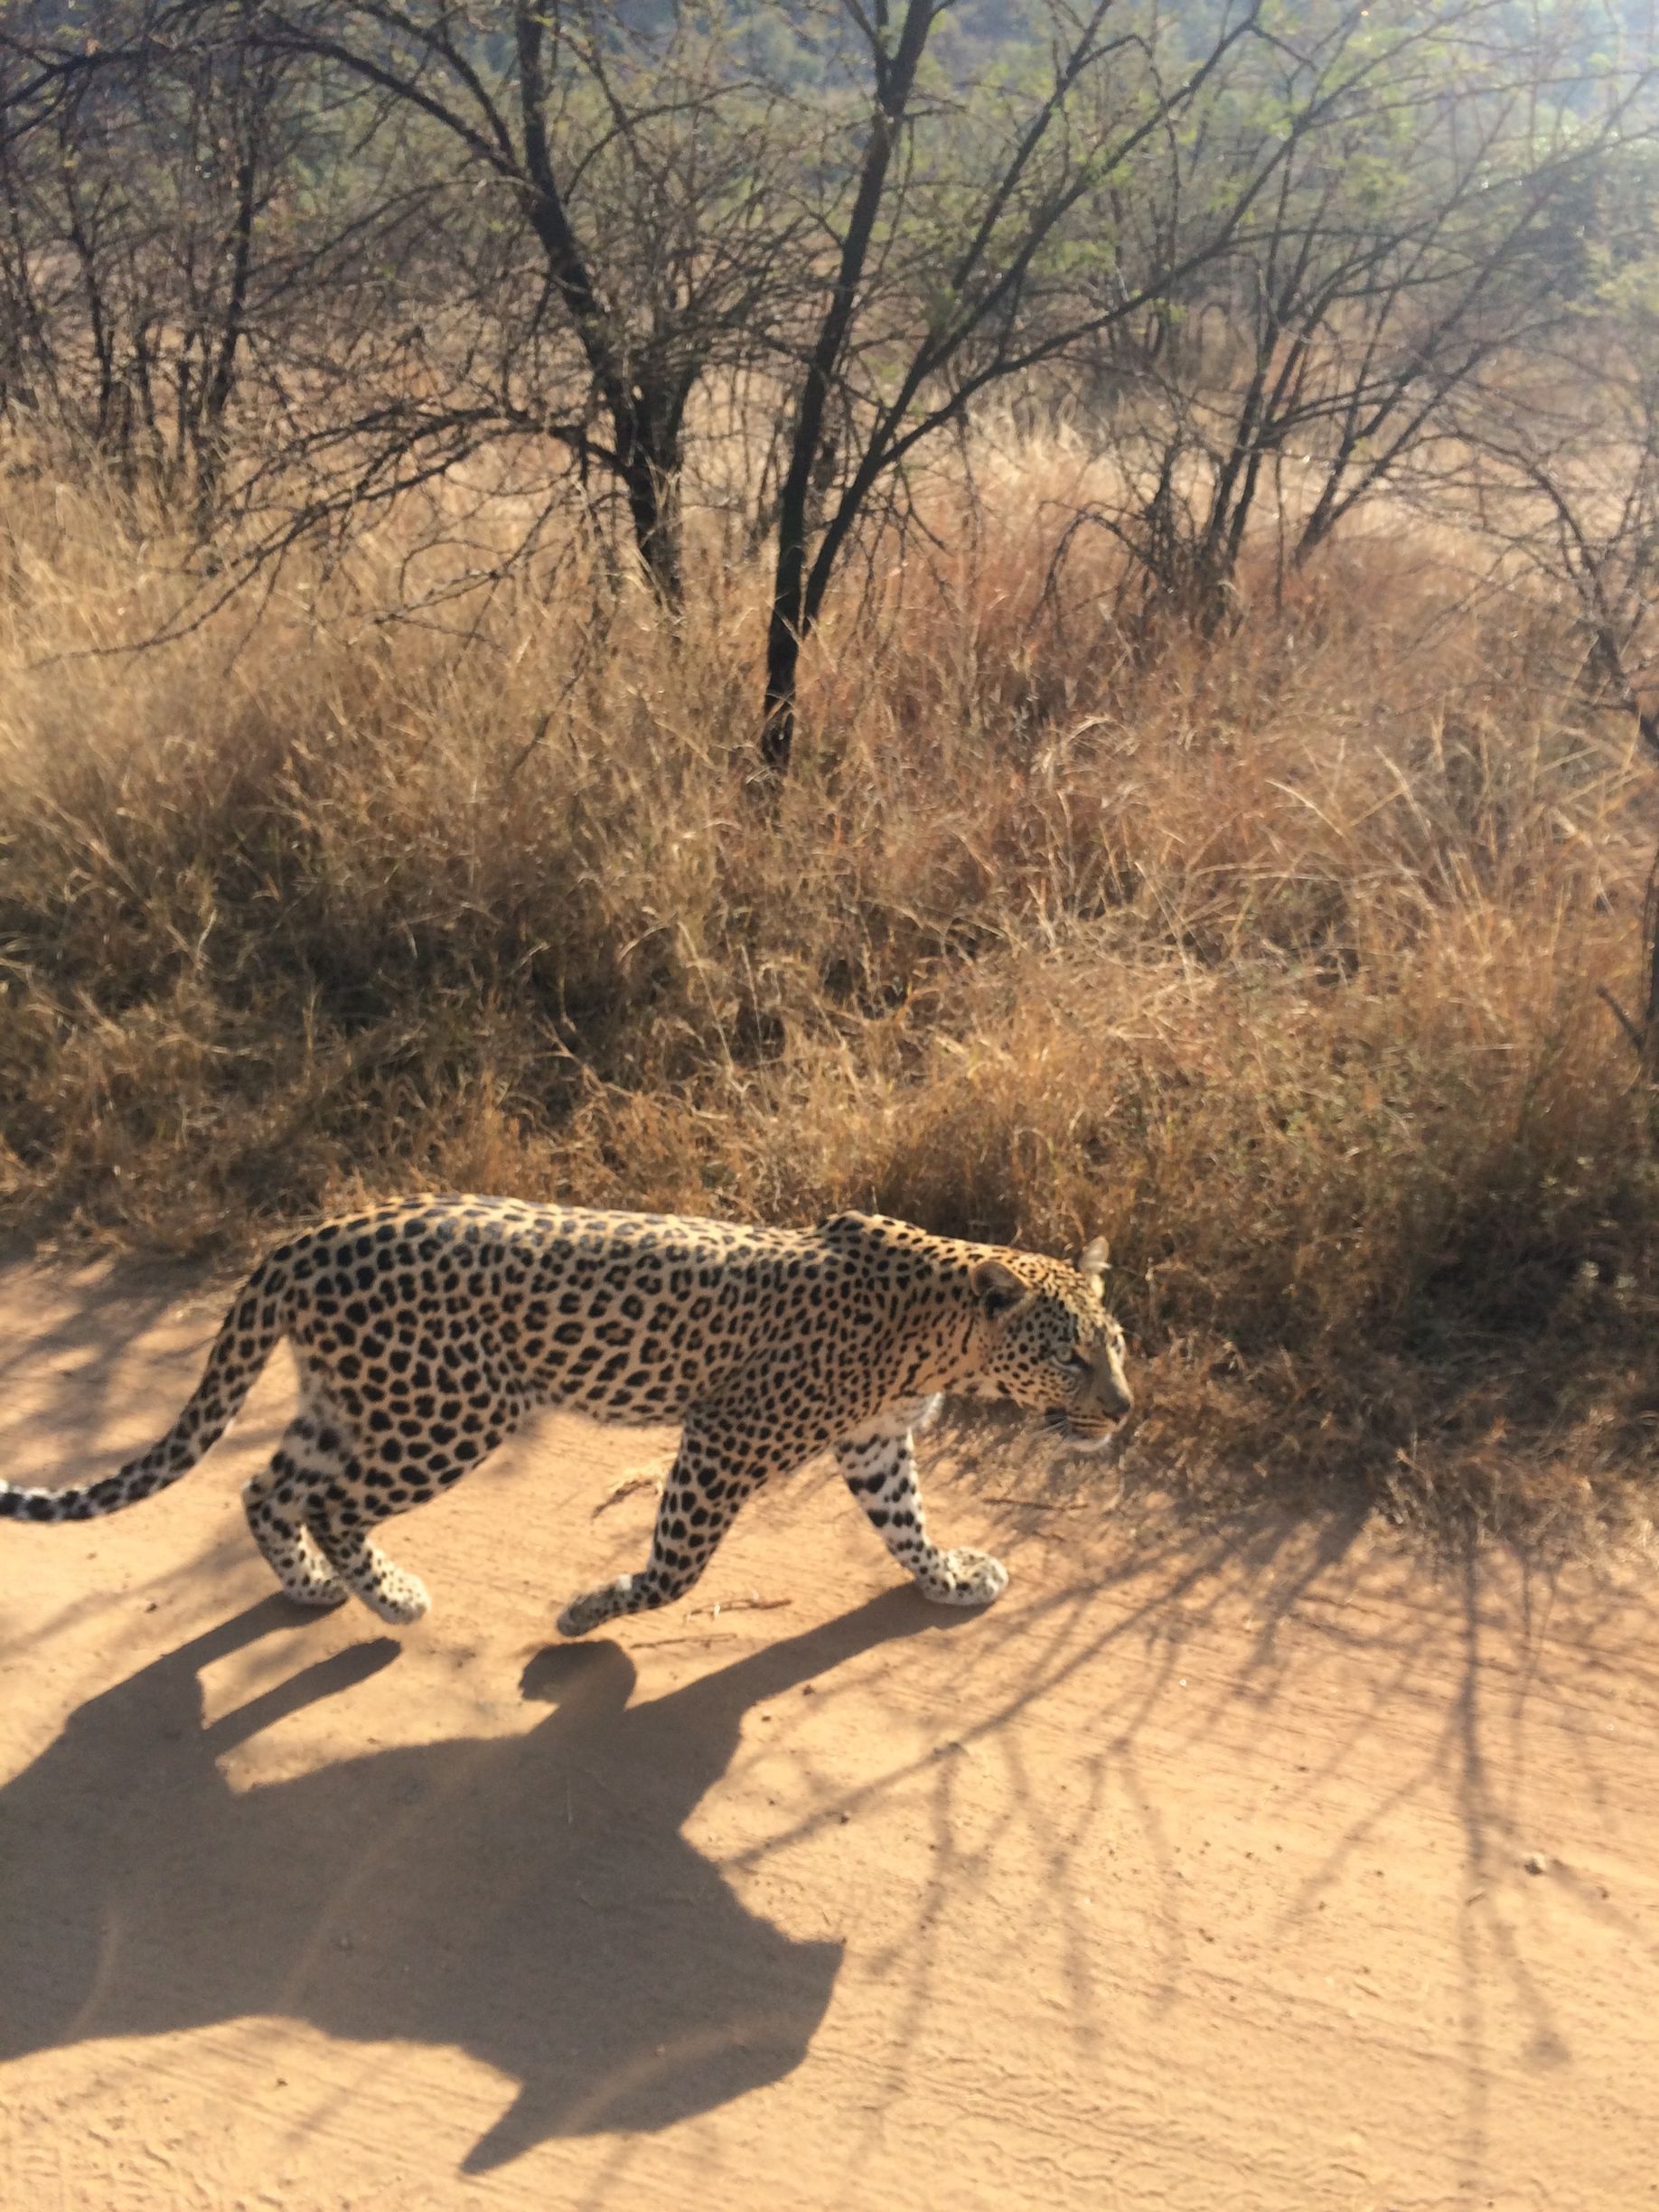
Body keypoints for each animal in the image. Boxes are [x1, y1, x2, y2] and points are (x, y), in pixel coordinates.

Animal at [0, 1198, 1133, 1636]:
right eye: (1069, 1354)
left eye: (1116, 1342)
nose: (1125, 1412)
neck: (942, 1328)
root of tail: (313, 1234)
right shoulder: (725, 1438)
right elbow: (681, 1566)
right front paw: (590, 1614)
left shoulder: (875, 1443)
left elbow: (906, 1526)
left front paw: (950, 1579)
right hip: (447, 1412)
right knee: (331, 1502)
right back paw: (389, 1596)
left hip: (354, 1400)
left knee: (263, 1485)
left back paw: (316, 1588)